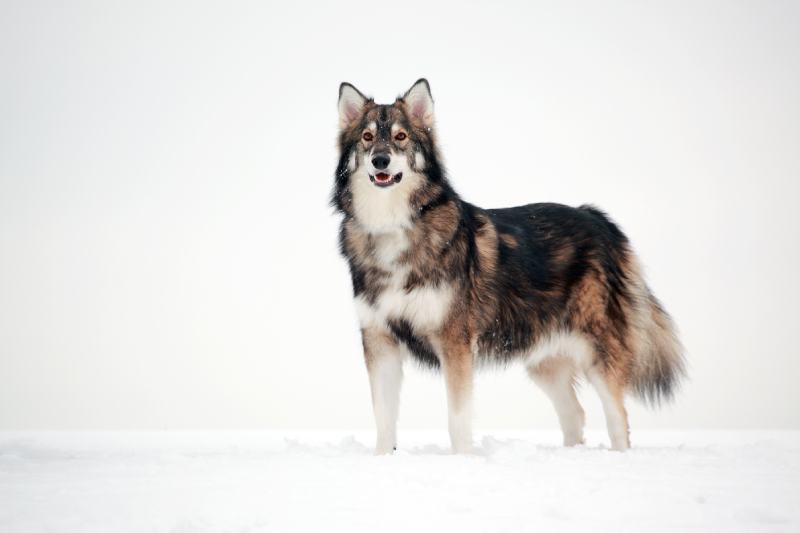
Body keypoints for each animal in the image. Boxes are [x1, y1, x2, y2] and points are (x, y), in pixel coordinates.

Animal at [334, 80, 684, 454]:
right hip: (545, 362)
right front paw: (382, 459)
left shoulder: (455, 344)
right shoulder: (379, 341)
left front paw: (462, 459)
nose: (380, 160)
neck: (394, 227)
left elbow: (457, 419)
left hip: (597, 351)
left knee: (618, 417)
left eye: (400, 137)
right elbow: (383, 419)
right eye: (367, 137)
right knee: (575, 414)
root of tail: (595, 216)